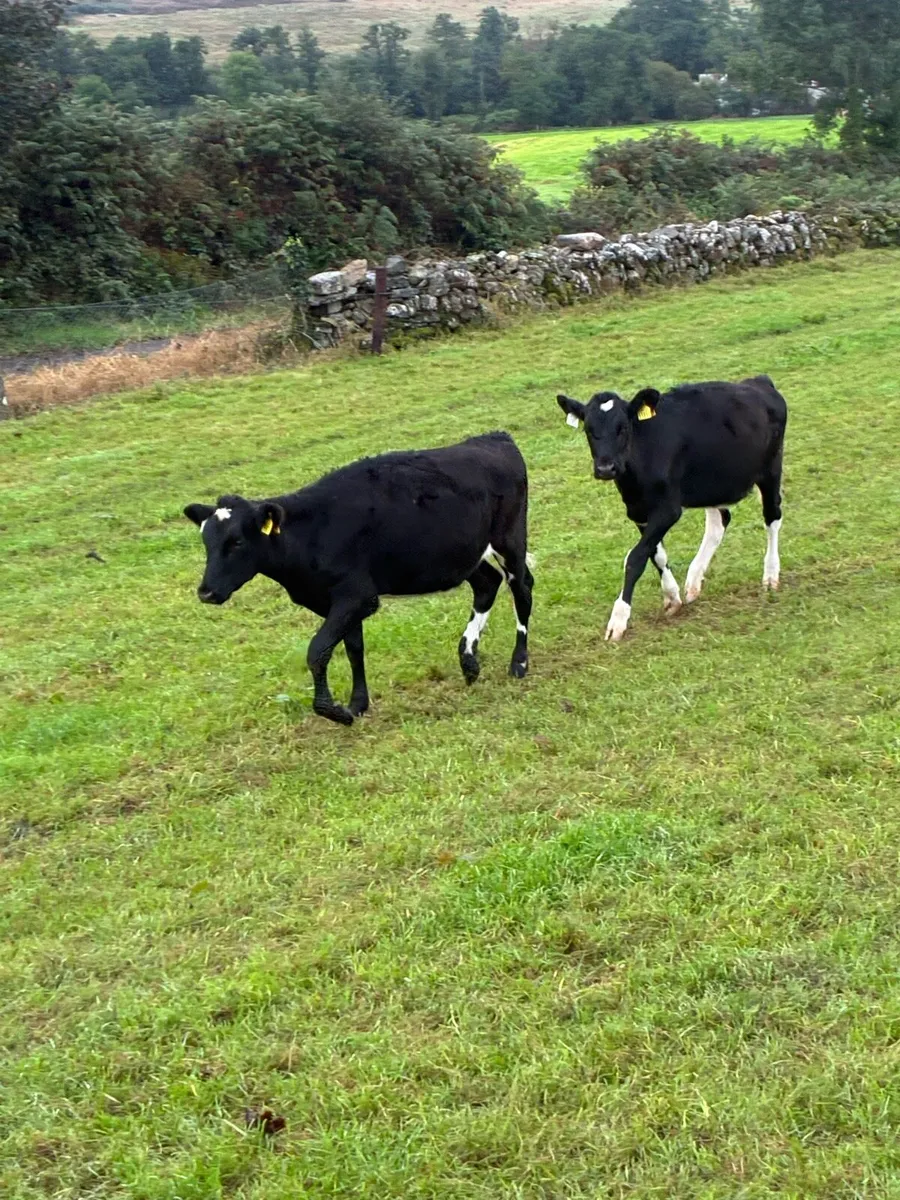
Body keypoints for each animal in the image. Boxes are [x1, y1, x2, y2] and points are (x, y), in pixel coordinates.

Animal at [183, 432, 534, 726]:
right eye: (206, 540)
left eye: (237, 542)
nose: (206, 592)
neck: (310, 533)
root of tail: (493, 437)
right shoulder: (338, 601)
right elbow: (353, 648)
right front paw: (358, 703)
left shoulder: (358, 595)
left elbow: (317, 651)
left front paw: (337, 712)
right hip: (467, 553)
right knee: (487, 584)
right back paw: (469, 662)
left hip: (510, 540)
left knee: (522, 588)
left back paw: (519, 663)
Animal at [555, 375, 787, 641]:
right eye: (588, 430)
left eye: (623, 427)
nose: (605, 468)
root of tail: (759, 381)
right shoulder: (638, 511)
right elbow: (656, 554)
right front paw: (672, 597)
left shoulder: (668, 510)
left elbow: (635, 557)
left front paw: (619, 619)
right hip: (714, 483)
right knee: (720, 520)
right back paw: (694, 581)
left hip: (770, 469)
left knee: (772, 516)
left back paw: (770, 575)